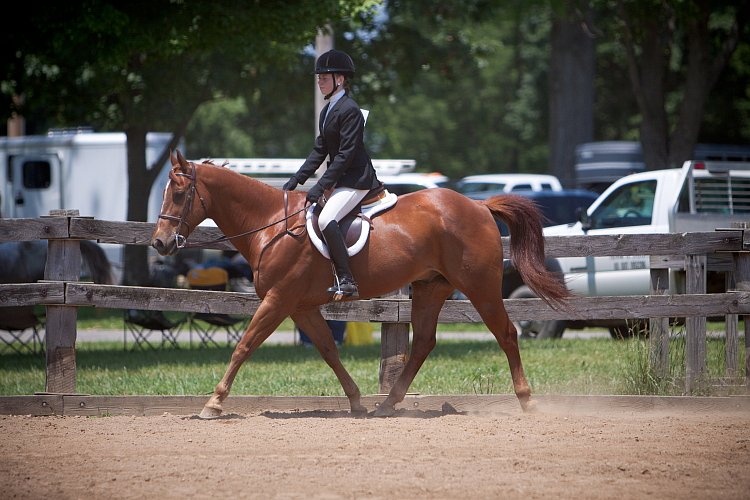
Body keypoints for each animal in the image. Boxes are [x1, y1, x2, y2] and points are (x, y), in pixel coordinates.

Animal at [150, 151, 568, 418]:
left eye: (180, 194)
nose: (160, 243)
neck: (270, 224)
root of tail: (479, 205)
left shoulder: (278, 300)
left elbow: (244, 347)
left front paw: (213, 404)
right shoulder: (300, 306)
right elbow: (328, 351)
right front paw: (355, 401)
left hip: (479, 285)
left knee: (506, 334)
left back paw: (528, 401)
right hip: (431, 287)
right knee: (424, 343)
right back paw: (386, 405)